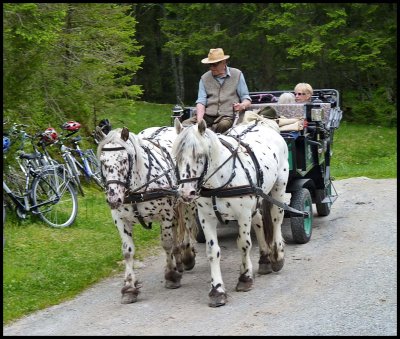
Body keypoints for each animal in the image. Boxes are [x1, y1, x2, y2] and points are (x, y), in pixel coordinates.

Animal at [97, 126, 197, 304]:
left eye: (124, 160)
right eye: (103, 161)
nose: (113, 199)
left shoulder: (165, 213)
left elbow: (166, 244)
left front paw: (171, 276)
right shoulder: (120, 219)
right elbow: (127, 252)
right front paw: (129, 288)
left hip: (186, 202)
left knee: (187, 226)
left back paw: (186, 256)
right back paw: (179, 260)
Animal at [173, 119, 290, 308]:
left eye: (199, 155)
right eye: (177, 157)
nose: (185, 192)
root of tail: (263, 123)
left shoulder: (243, 214)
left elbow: (244, 244)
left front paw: (245, 278)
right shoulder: (206, 217)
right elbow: (212, 251)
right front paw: (217, 290)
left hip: (279, 186)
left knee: (276, 219)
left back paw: (277, 256)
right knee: (259, 220)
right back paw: (265, 259)